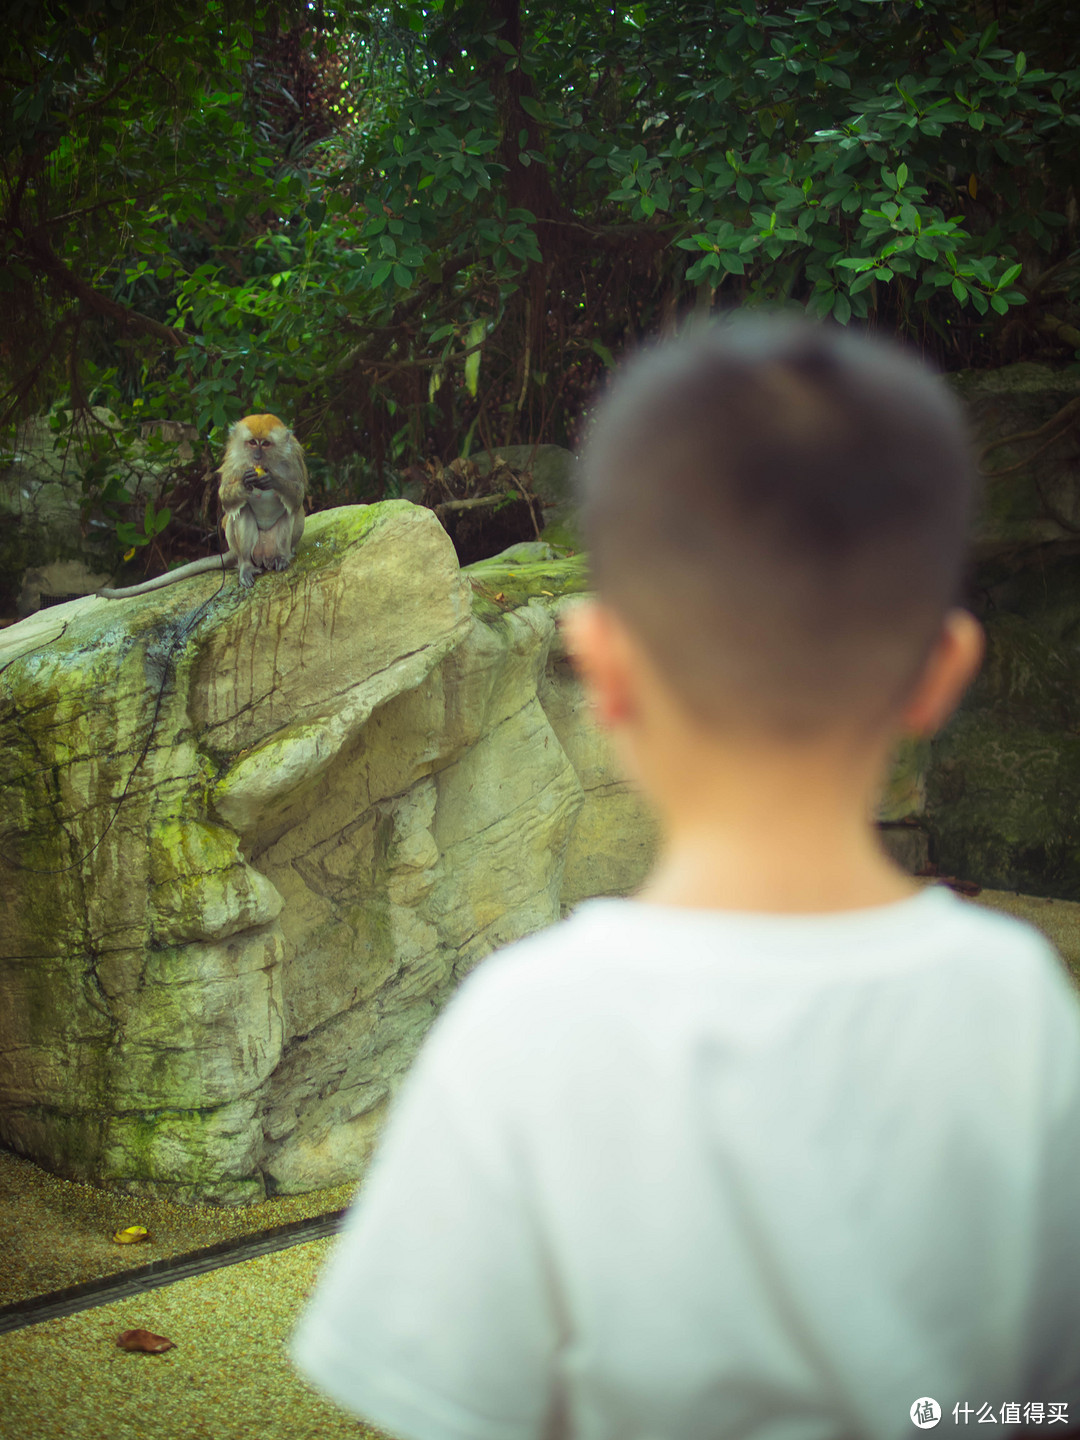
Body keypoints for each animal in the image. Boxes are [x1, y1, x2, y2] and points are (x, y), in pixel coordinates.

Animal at [100, 414, 308, 599]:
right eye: (251, 442)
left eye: (265, 444)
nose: (257, 456)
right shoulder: (234, 460)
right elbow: (226, 497)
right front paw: (243, 484)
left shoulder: (293, 457)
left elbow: (298, 495)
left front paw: (273, 480)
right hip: (246, 549)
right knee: (241, 511)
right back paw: (246, 566)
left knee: (292, 511)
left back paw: (281, 557)